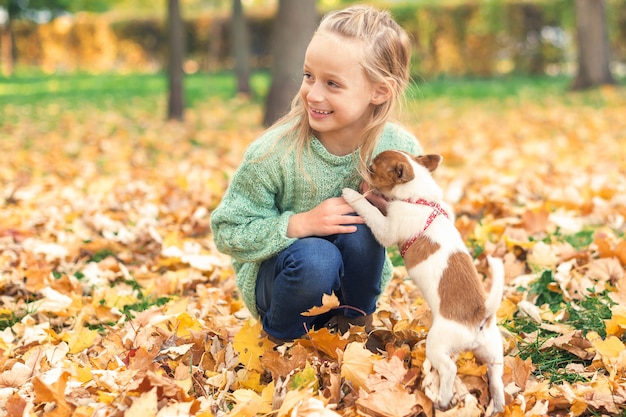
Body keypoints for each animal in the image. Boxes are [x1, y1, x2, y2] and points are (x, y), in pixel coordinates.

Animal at [338, 150, 504, 412]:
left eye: (373, 169)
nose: (362, 169)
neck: (419, 198)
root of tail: (479, 315)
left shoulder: (387, 228)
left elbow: (371, 211)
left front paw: (353, 195)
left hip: (437, 344)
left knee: (449, 369)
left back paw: (442, 399)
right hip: (494, 352)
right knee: (497, 378)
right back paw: (497, 405)